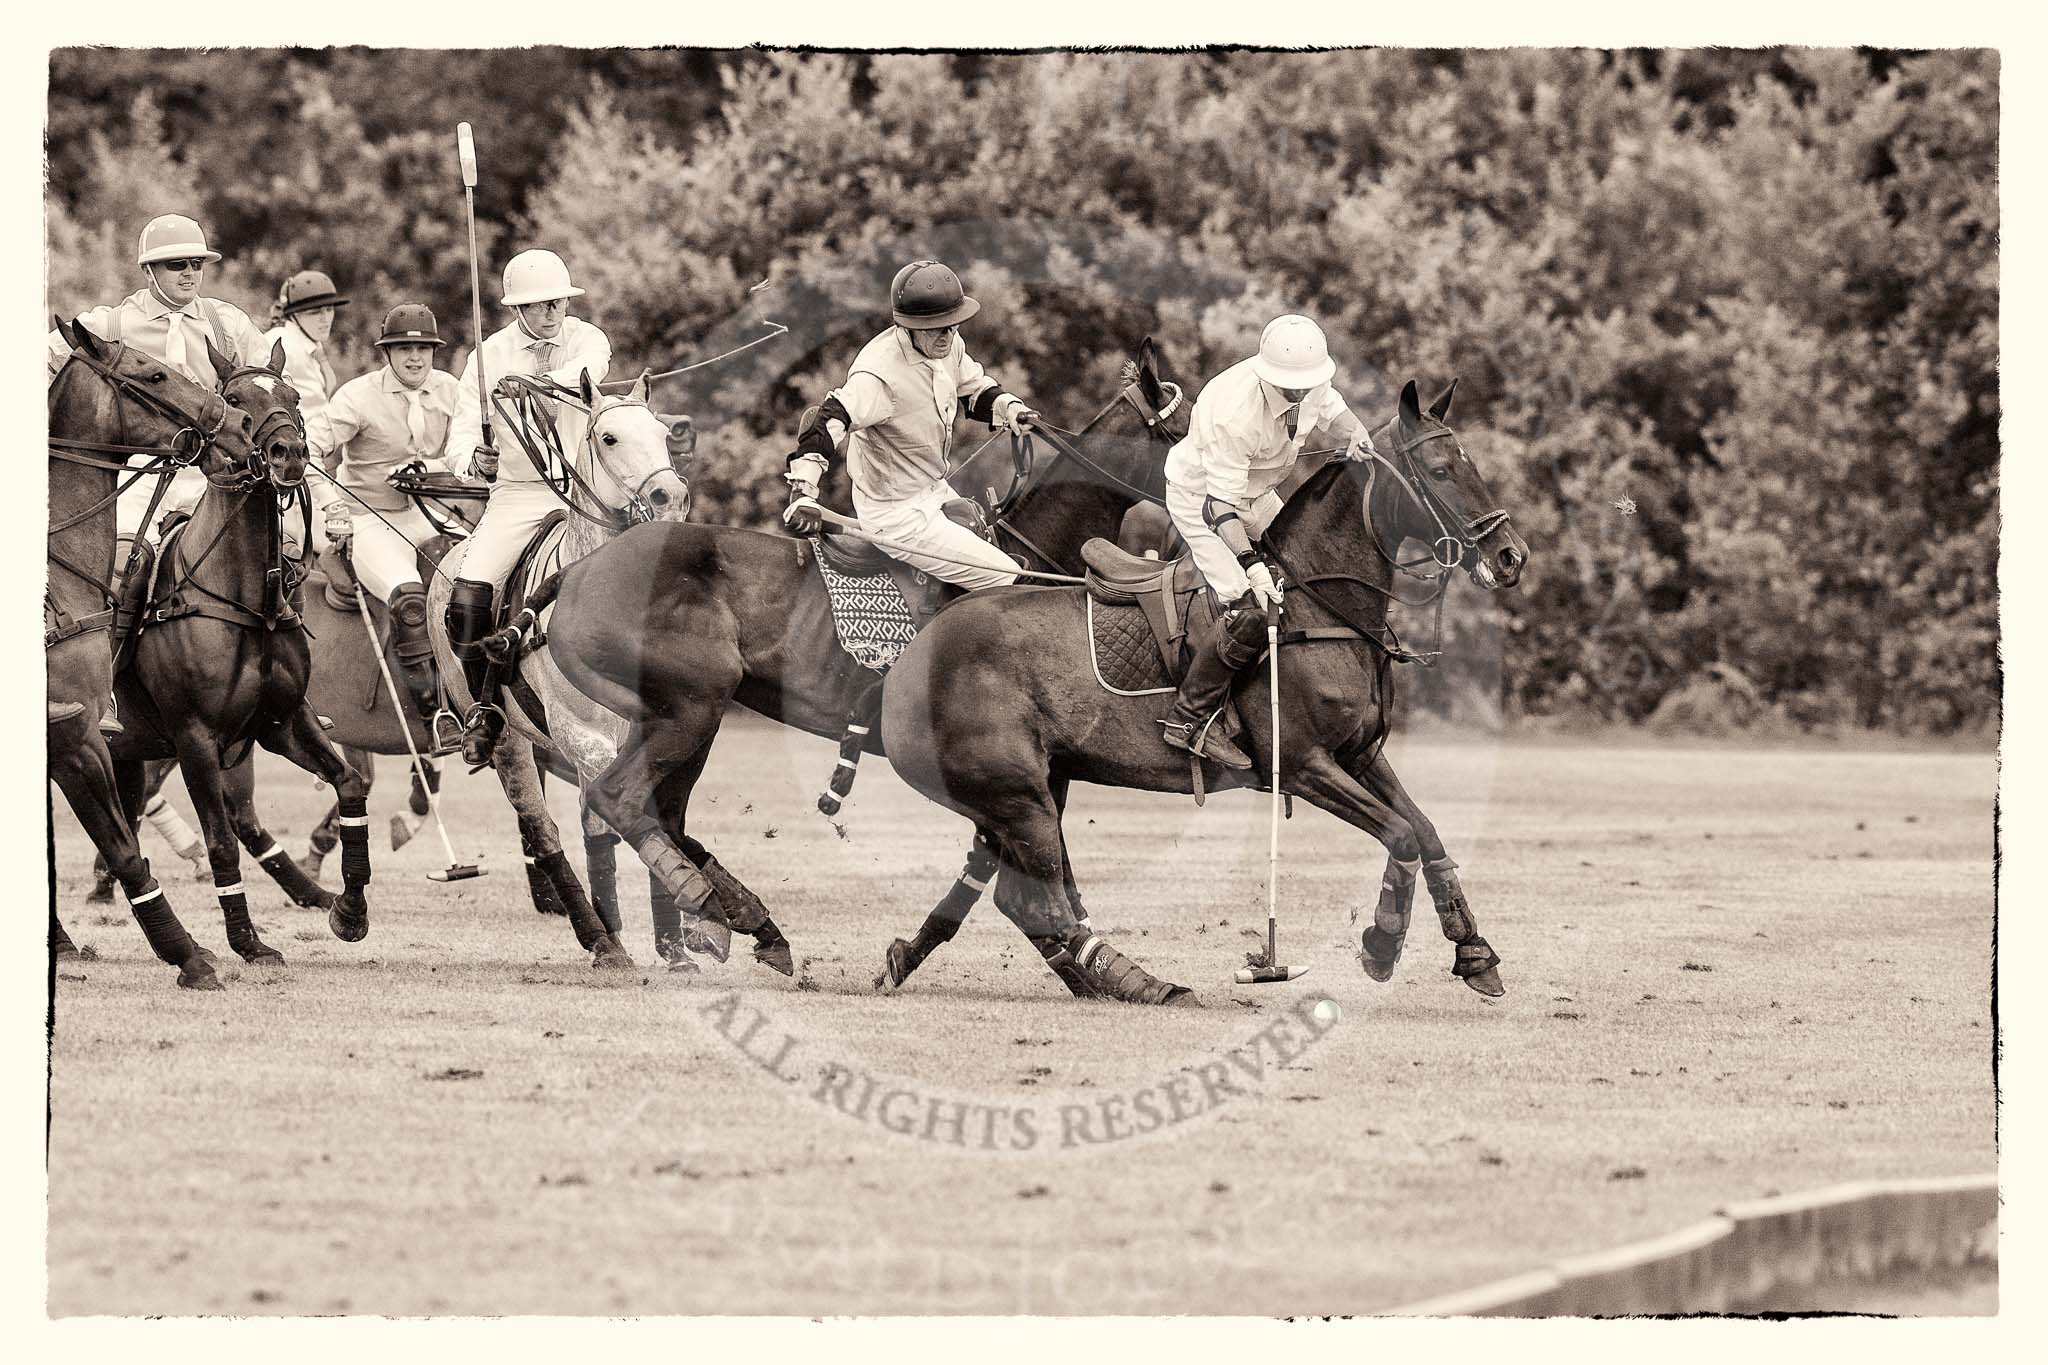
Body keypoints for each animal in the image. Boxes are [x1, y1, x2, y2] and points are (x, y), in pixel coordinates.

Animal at [111, 358, 376, 965]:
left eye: (292, 395)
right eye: (234, 398)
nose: (288, 454)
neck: (243, 601)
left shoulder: (281, 723)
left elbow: (350, 785)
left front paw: (349, 912)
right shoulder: (195, 739)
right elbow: (221, 842)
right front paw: (248, 942)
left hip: (127, 752)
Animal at [528, 347, 1196, 978]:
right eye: (1186, 430)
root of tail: (574, 571)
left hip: (682, 717)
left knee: (656, 810)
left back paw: (748, 924)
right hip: (691, 706)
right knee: (617, 798)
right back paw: (710, 908)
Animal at [872, 378, 1531, 998]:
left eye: (1469, 462)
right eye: (1441, 470)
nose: (1510, 556)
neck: (1323, 605)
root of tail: (912, 655)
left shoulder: (1360, 755)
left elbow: (1427, 832)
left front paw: (1474, 953)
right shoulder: (1303, 765)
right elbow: (1402, 836)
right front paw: (1381, 944)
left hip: (1036, 788)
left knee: (1020, 891)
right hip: (1017, 793)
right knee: (1036, 899)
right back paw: (1136, 982)